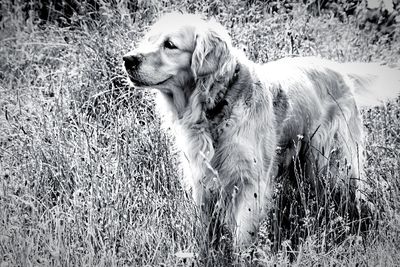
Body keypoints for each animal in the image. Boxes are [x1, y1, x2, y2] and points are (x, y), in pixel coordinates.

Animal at [122, 12, 400, 247]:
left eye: (170, 45)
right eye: (149, 40)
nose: (128, 60)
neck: (216, 105)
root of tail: (338, 69)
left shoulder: (249, 182)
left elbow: (242, 236)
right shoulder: (201, 178)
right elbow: (207, 231)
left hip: (333, 163)